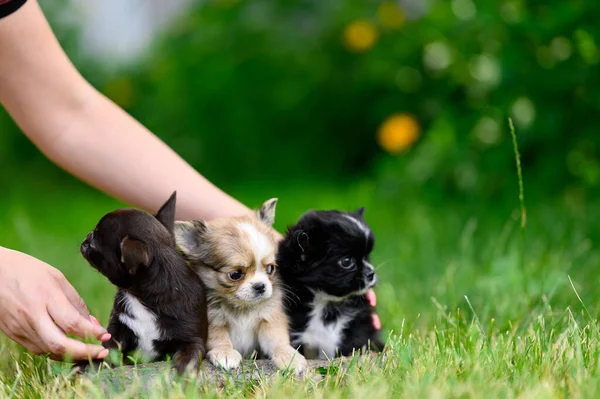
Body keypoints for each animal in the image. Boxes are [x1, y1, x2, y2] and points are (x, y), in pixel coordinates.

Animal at [74, 192, 207, 376]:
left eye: (95, 239)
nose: (87, 236)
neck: (142, 298)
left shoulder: (192, 338)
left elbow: (190, 353)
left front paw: (185, 373)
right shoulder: (118, 331)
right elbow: (107, 349)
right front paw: (88, 363)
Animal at [172, 200, 304, 376]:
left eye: (270, 269)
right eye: (235, 275)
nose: (260, 286)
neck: (242, 308)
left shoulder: (269, 318)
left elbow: (277, 340)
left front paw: (289, 357)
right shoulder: (212, 321)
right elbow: (218, 338)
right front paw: (225, 353)